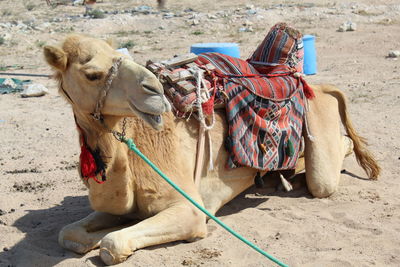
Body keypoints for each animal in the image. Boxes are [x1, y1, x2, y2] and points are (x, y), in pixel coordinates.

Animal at [43, 35, 382, 266]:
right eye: (92, 74)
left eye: (120, 56)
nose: (154, 91)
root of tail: (317, 86)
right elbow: (68, 233)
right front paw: (93, 237)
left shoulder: (190, 209)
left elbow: (112, 243)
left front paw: (106, 238)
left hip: (319, 129)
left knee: (326, 174)